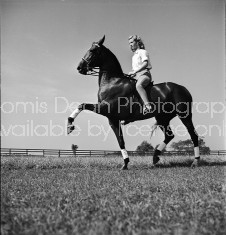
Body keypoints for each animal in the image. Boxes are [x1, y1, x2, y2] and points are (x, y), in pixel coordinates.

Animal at [66, 35, 200, 169]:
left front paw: (70, 125)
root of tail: (183, 88)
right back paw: (155, 157)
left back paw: (195, 161)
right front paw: (125, 163)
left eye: (92, 50)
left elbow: (82, 105)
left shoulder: (104, 108)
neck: (112, 82)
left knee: (193, 135)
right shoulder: (112, 119)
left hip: (184, 115)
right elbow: (120, 141)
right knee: (169, 136)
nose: (79, 67)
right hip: (162, 118)